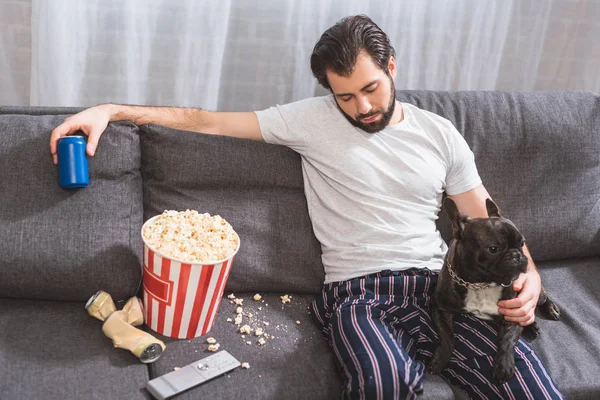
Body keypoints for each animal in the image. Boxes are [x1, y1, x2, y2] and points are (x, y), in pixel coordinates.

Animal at [428, 198, 560, 382]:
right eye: (493, 249)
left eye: (522, 243)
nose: (517, 255)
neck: (480, 283)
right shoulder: (439, 308)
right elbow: (447, 336)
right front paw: (440, 359)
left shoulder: (513, 314)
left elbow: (507, 340)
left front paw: (504, 364)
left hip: (536, 294)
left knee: (540, 299)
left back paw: (549, 311)